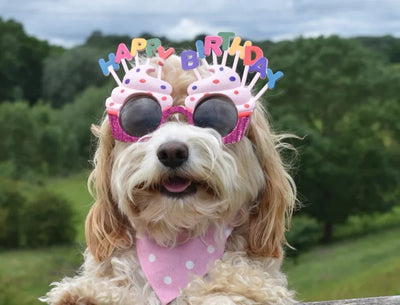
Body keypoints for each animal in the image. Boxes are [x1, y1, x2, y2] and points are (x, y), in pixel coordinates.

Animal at [41, 37, 296, 302]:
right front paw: (85, 293)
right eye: (139, 119)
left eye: (217, 117)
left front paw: (219, 290)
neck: (175, 238)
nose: (172, 152)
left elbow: (240, 282)